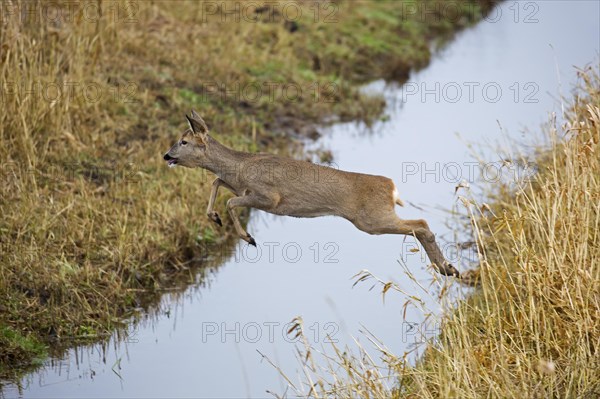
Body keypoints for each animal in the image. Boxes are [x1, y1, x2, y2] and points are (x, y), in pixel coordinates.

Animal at [163, 110, 460, 278]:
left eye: (184, 142)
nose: (166, 155)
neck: (241, 167)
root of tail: (391, 186)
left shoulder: (269, 197)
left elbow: (230, 201)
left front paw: (249, 238)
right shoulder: (238, 185)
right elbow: (216, 182)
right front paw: (213, 217)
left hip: (372, 220)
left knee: (421, 224)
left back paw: (447, 268)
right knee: (420, 225)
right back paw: (448, 268)